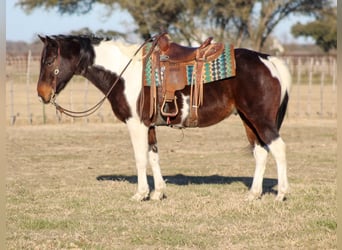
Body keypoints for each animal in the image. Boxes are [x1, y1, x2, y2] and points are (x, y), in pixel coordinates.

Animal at [36, 35, 292, 202]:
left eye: (48, 61)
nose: (42, 94)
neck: (125, 73)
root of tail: (268, 60)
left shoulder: (136, 124)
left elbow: (140, 158)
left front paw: (140, 194)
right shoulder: (149, 126)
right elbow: (153, 156)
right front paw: (158, 192)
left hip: (261, 120)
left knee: (278, 149)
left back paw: (281, 194)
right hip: (248, 120)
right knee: (260, 153)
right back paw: (253, 194)